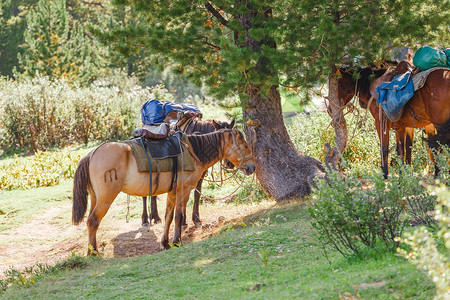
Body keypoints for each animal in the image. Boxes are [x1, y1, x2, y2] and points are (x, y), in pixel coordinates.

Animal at [72, 129, 255, 253]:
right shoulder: (183, 190)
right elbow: (179, 216)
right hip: (106, 198)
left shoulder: (172, 192)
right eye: (246, 146)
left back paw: (92, 249)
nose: (252, 167)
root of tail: (92, 153)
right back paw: (93, 252)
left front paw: (165, 242)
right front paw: (177, 241)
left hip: (96, 197)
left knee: (90, 221)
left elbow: (168, 216)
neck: (192, 151)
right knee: (93, 221)